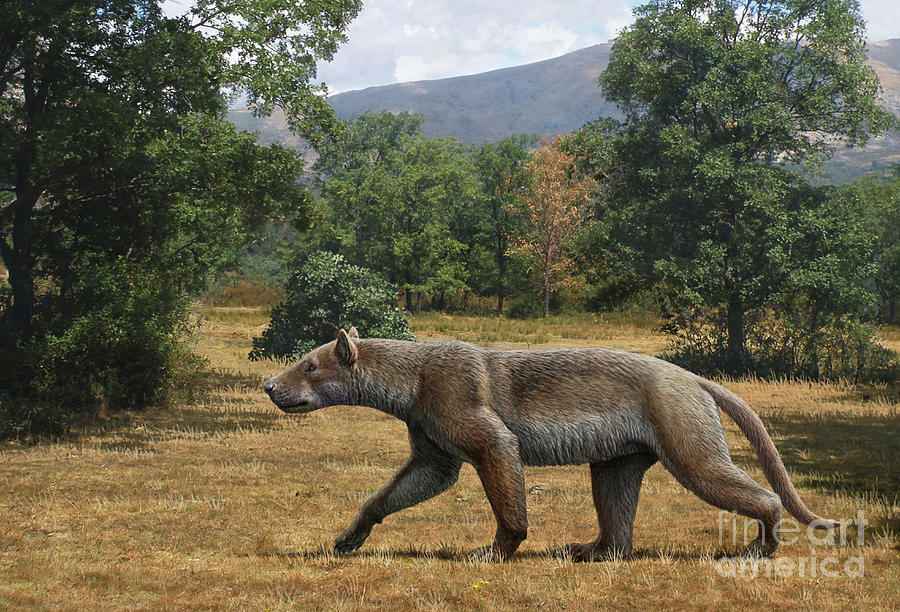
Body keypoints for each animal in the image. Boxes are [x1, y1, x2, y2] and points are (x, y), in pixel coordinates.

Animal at [262, 328, 836, 560]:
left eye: (309, 364)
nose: (269, 385)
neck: (413, 379)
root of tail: (696, 378)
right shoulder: (433, 445)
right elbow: (396, 489)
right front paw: (346, 538)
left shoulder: (472, 419)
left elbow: (503, 480)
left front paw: (490, 551)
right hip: (619, 457)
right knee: (617, 507)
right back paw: (587, 549)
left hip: (682, 430)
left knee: (742, 486)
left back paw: (759, 546)